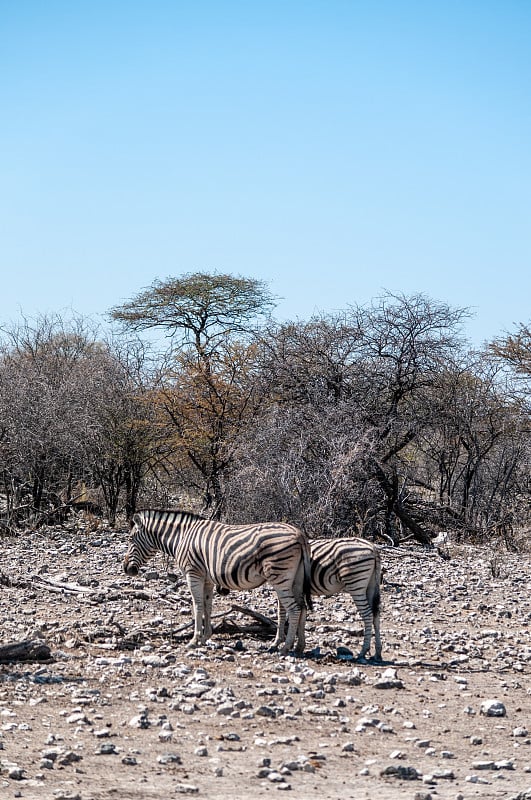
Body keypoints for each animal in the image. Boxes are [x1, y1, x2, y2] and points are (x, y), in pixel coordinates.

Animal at [123, 510, 316, 652]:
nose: (126, 569)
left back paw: (285, 647)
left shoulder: (193, 574)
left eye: (131, 539)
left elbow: (197, 606)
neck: (182, 537)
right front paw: (206, 637)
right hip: (295, 579)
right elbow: (207, 606)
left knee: (294, 609)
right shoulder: (207, 579)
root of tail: (299, 534)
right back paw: (298, 646)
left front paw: (194, 640)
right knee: (301, 607)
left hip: (280, 576)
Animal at [276, 536, 384, 664]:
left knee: (368, 615)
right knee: (376, 615)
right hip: (371, 585)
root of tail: (372, 547)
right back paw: (378, 653)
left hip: (356, 584)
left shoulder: (283, 584)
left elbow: (282, 612)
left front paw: (277, 642)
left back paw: (363, 651)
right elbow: (297, 611)